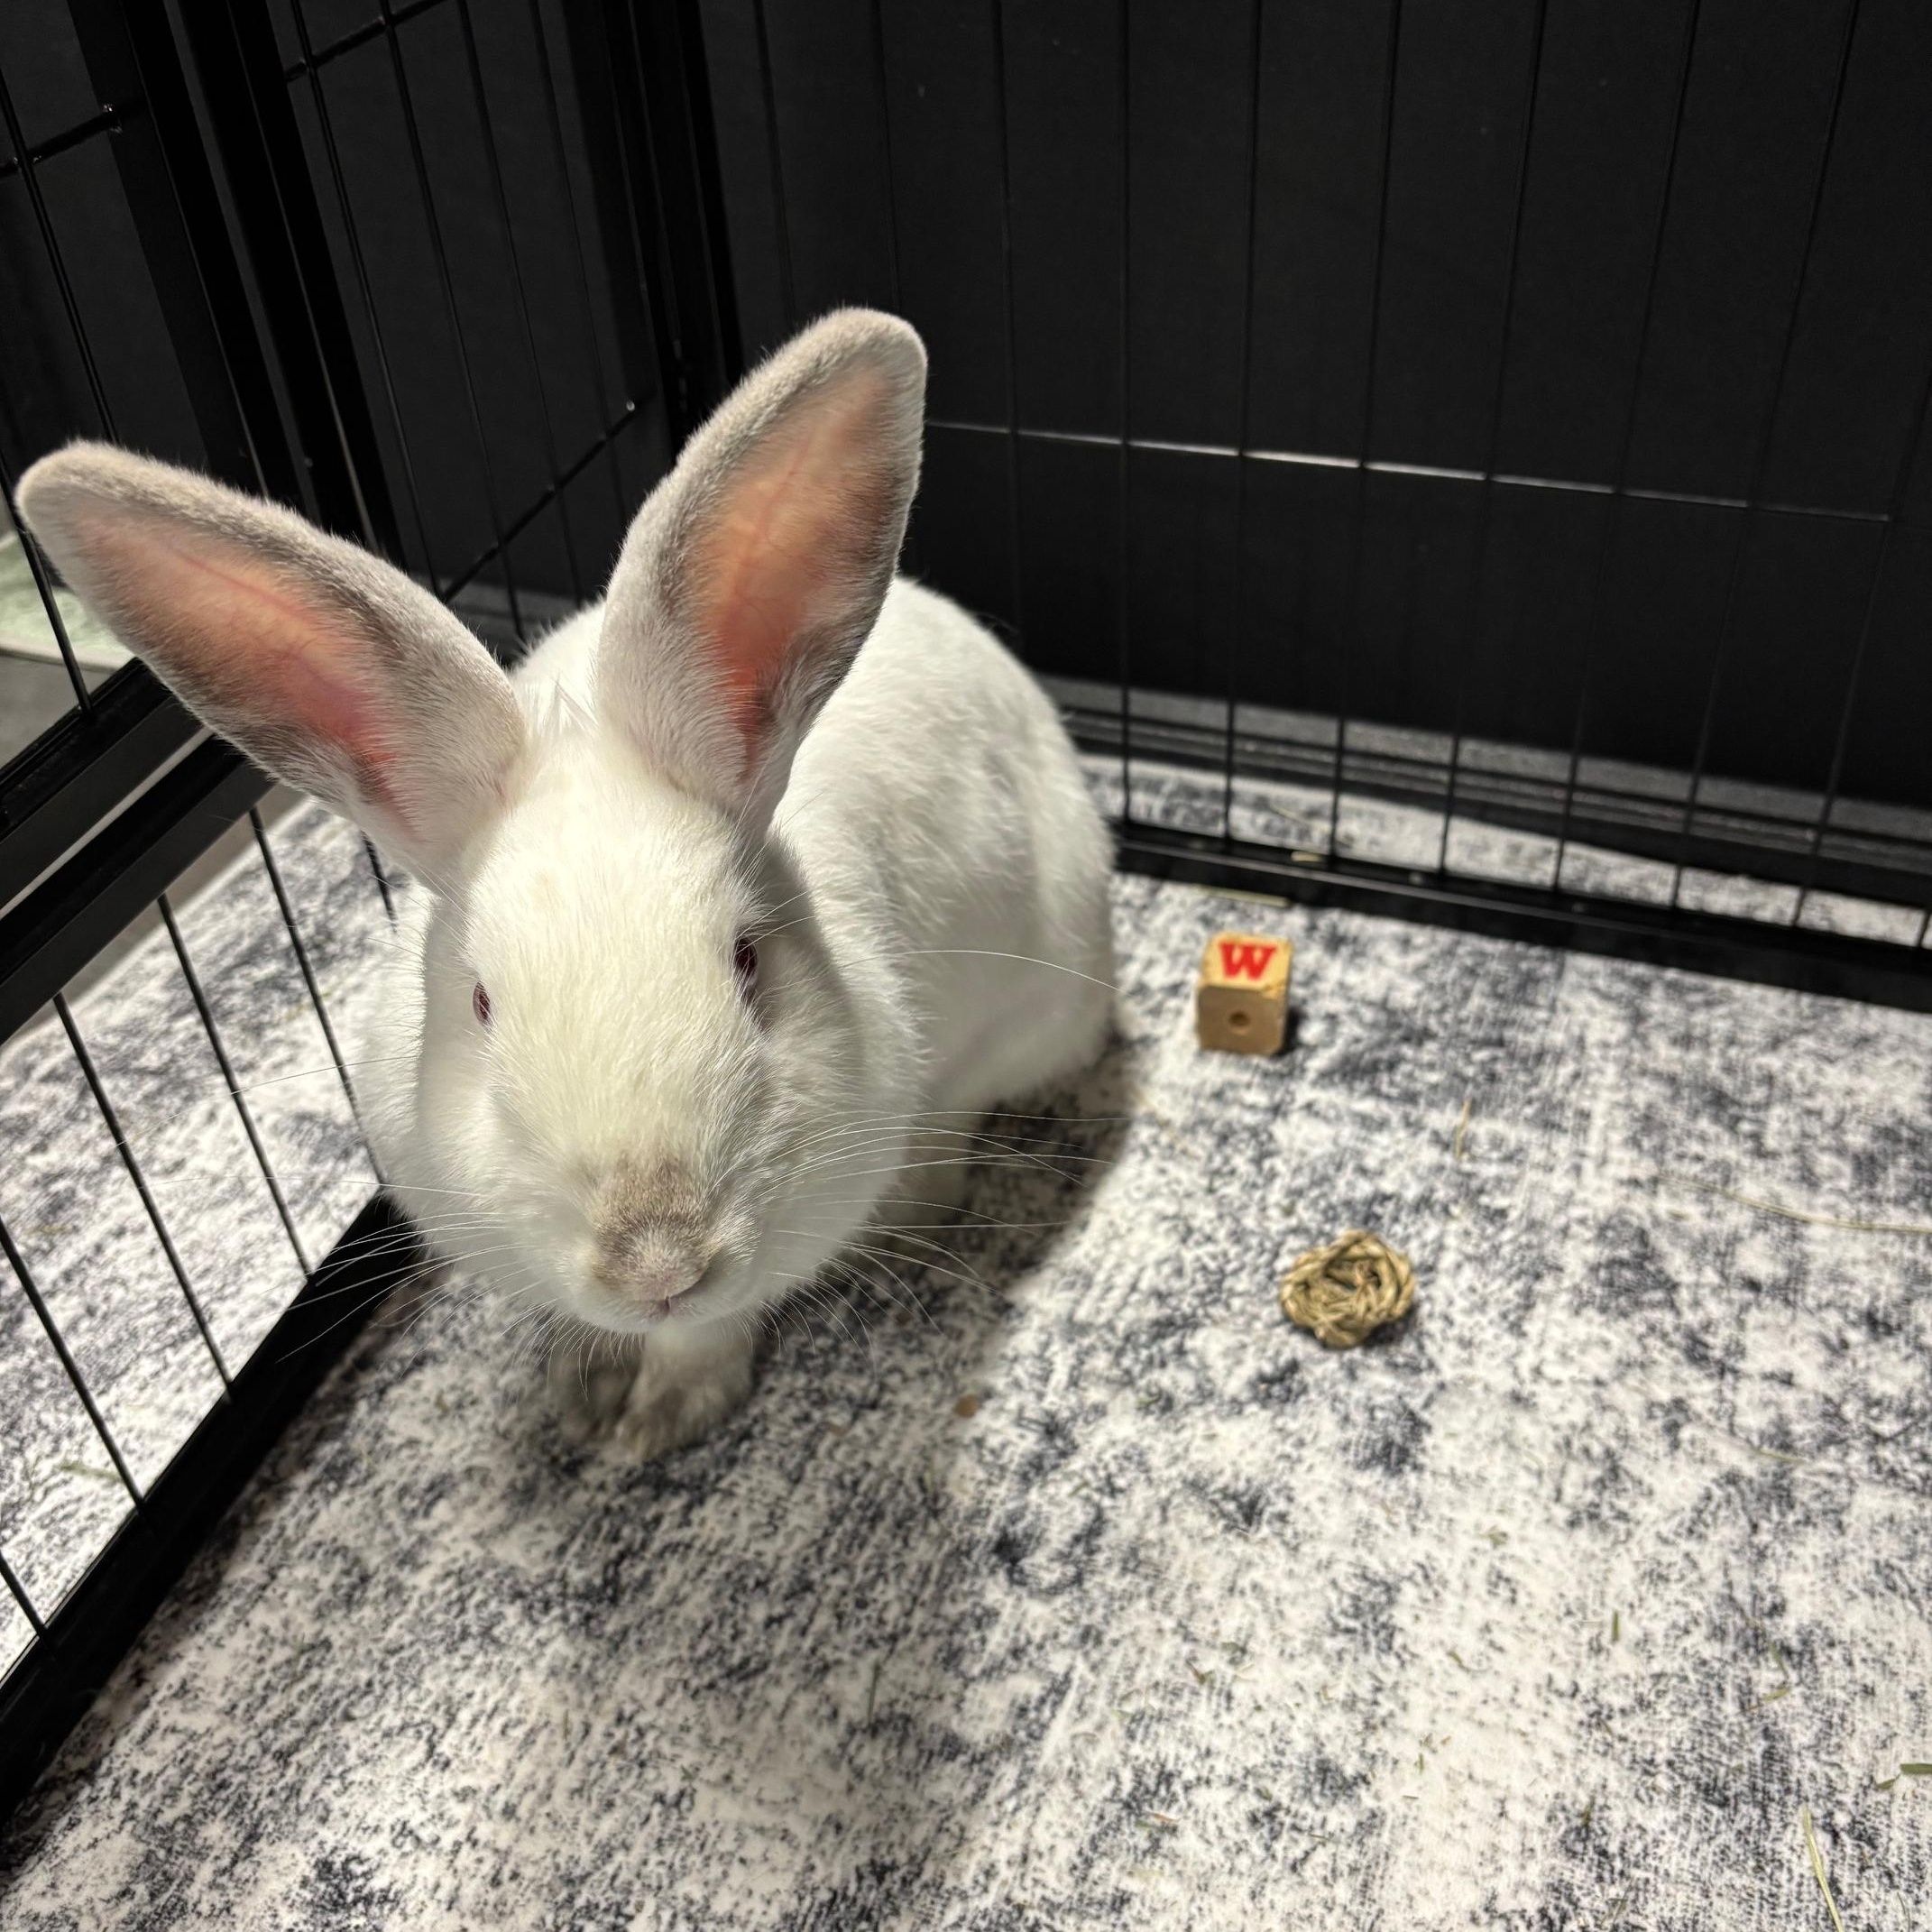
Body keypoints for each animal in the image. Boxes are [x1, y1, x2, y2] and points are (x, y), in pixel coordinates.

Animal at [17, 309, 1115, 1460]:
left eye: (747, 962)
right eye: (480, 1003)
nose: (656, 1261)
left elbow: (712, 1331)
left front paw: (661, 1420)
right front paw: (585, 1390)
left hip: (1027, 1004)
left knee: (960, 1114)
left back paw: (909, 1218)